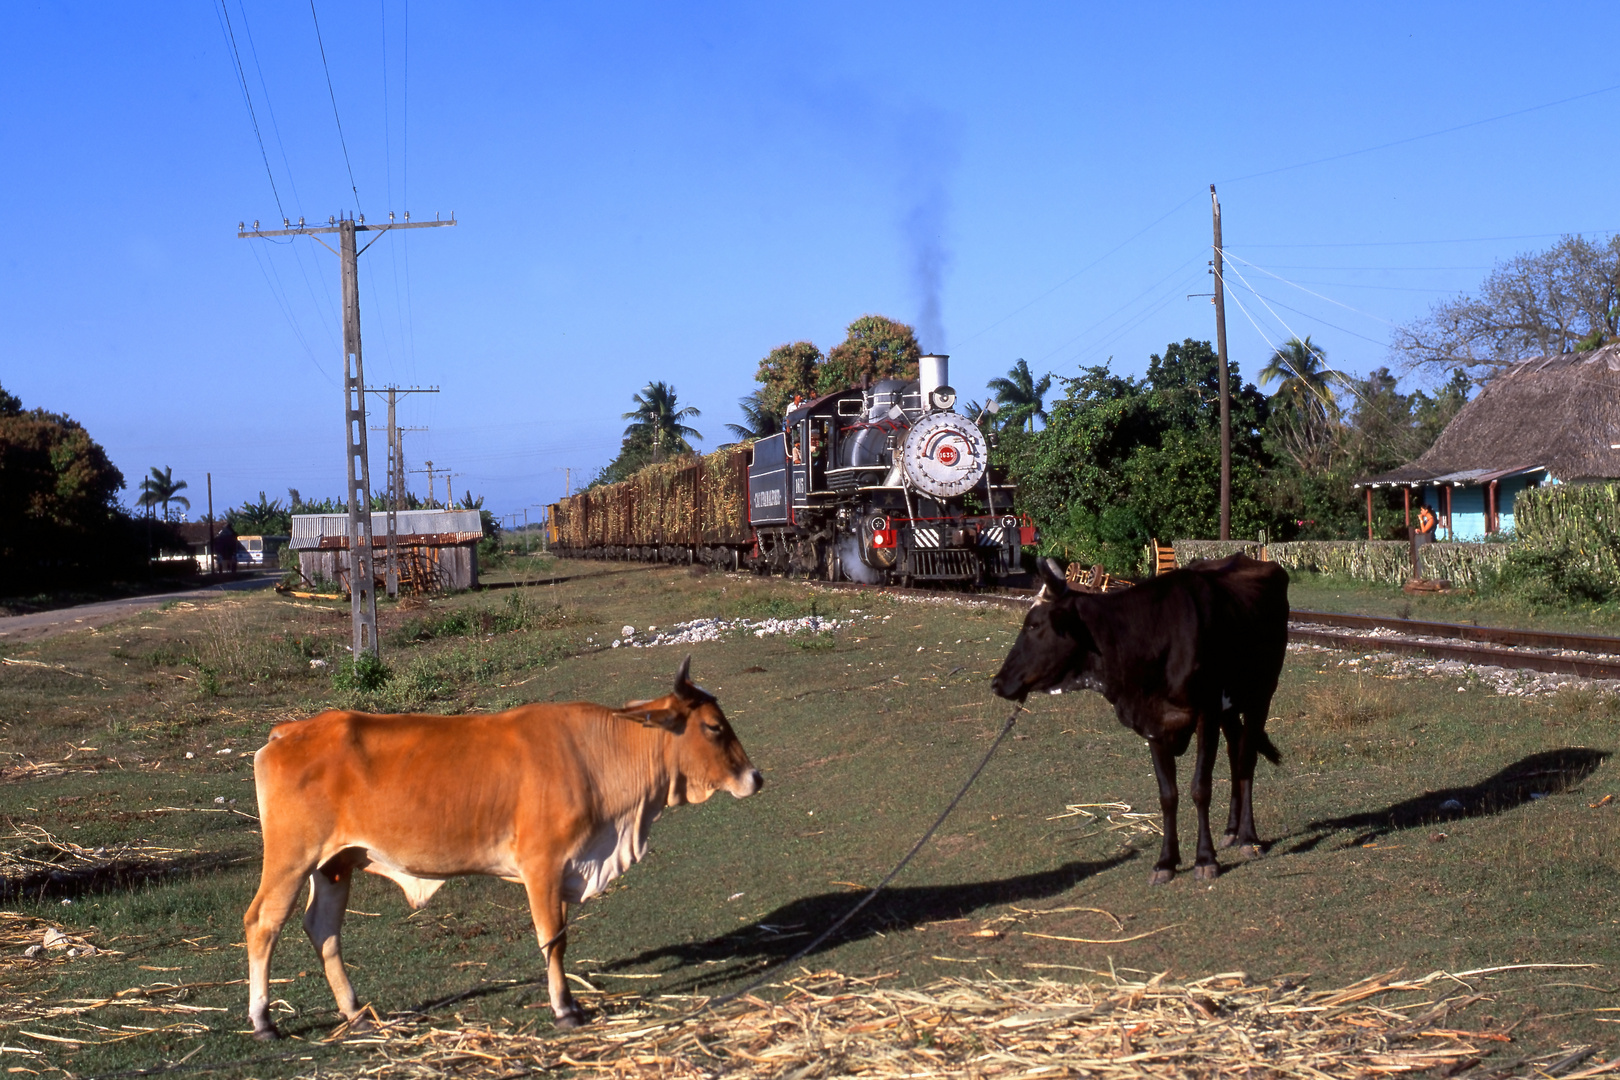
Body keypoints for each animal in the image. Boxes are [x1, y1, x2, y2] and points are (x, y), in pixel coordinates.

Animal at [243, 660, 761, 1036]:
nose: (754, 777)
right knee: (263, 924)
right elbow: (554, 939)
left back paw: (355, 1012)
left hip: (334, 864)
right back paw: (264, 1020)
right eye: (713, 728)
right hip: (291, 859)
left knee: (324, 930)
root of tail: (290, 729)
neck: (596, 757)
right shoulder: (543, 865)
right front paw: (564, 1009)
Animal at [991, 557, 1283, 887]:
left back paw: (1248, 837)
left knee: (1246, 761)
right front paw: (1166, 862)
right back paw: (1231, 831)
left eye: (1033, 625)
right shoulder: (1154, 723)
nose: (998, 682)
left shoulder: (1206, 712)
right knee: (1236, 753)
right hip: (1230, 708)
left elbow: (1200, 788)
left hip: (1261, 694)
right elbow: (1168, 794)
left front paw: (1205, 859)